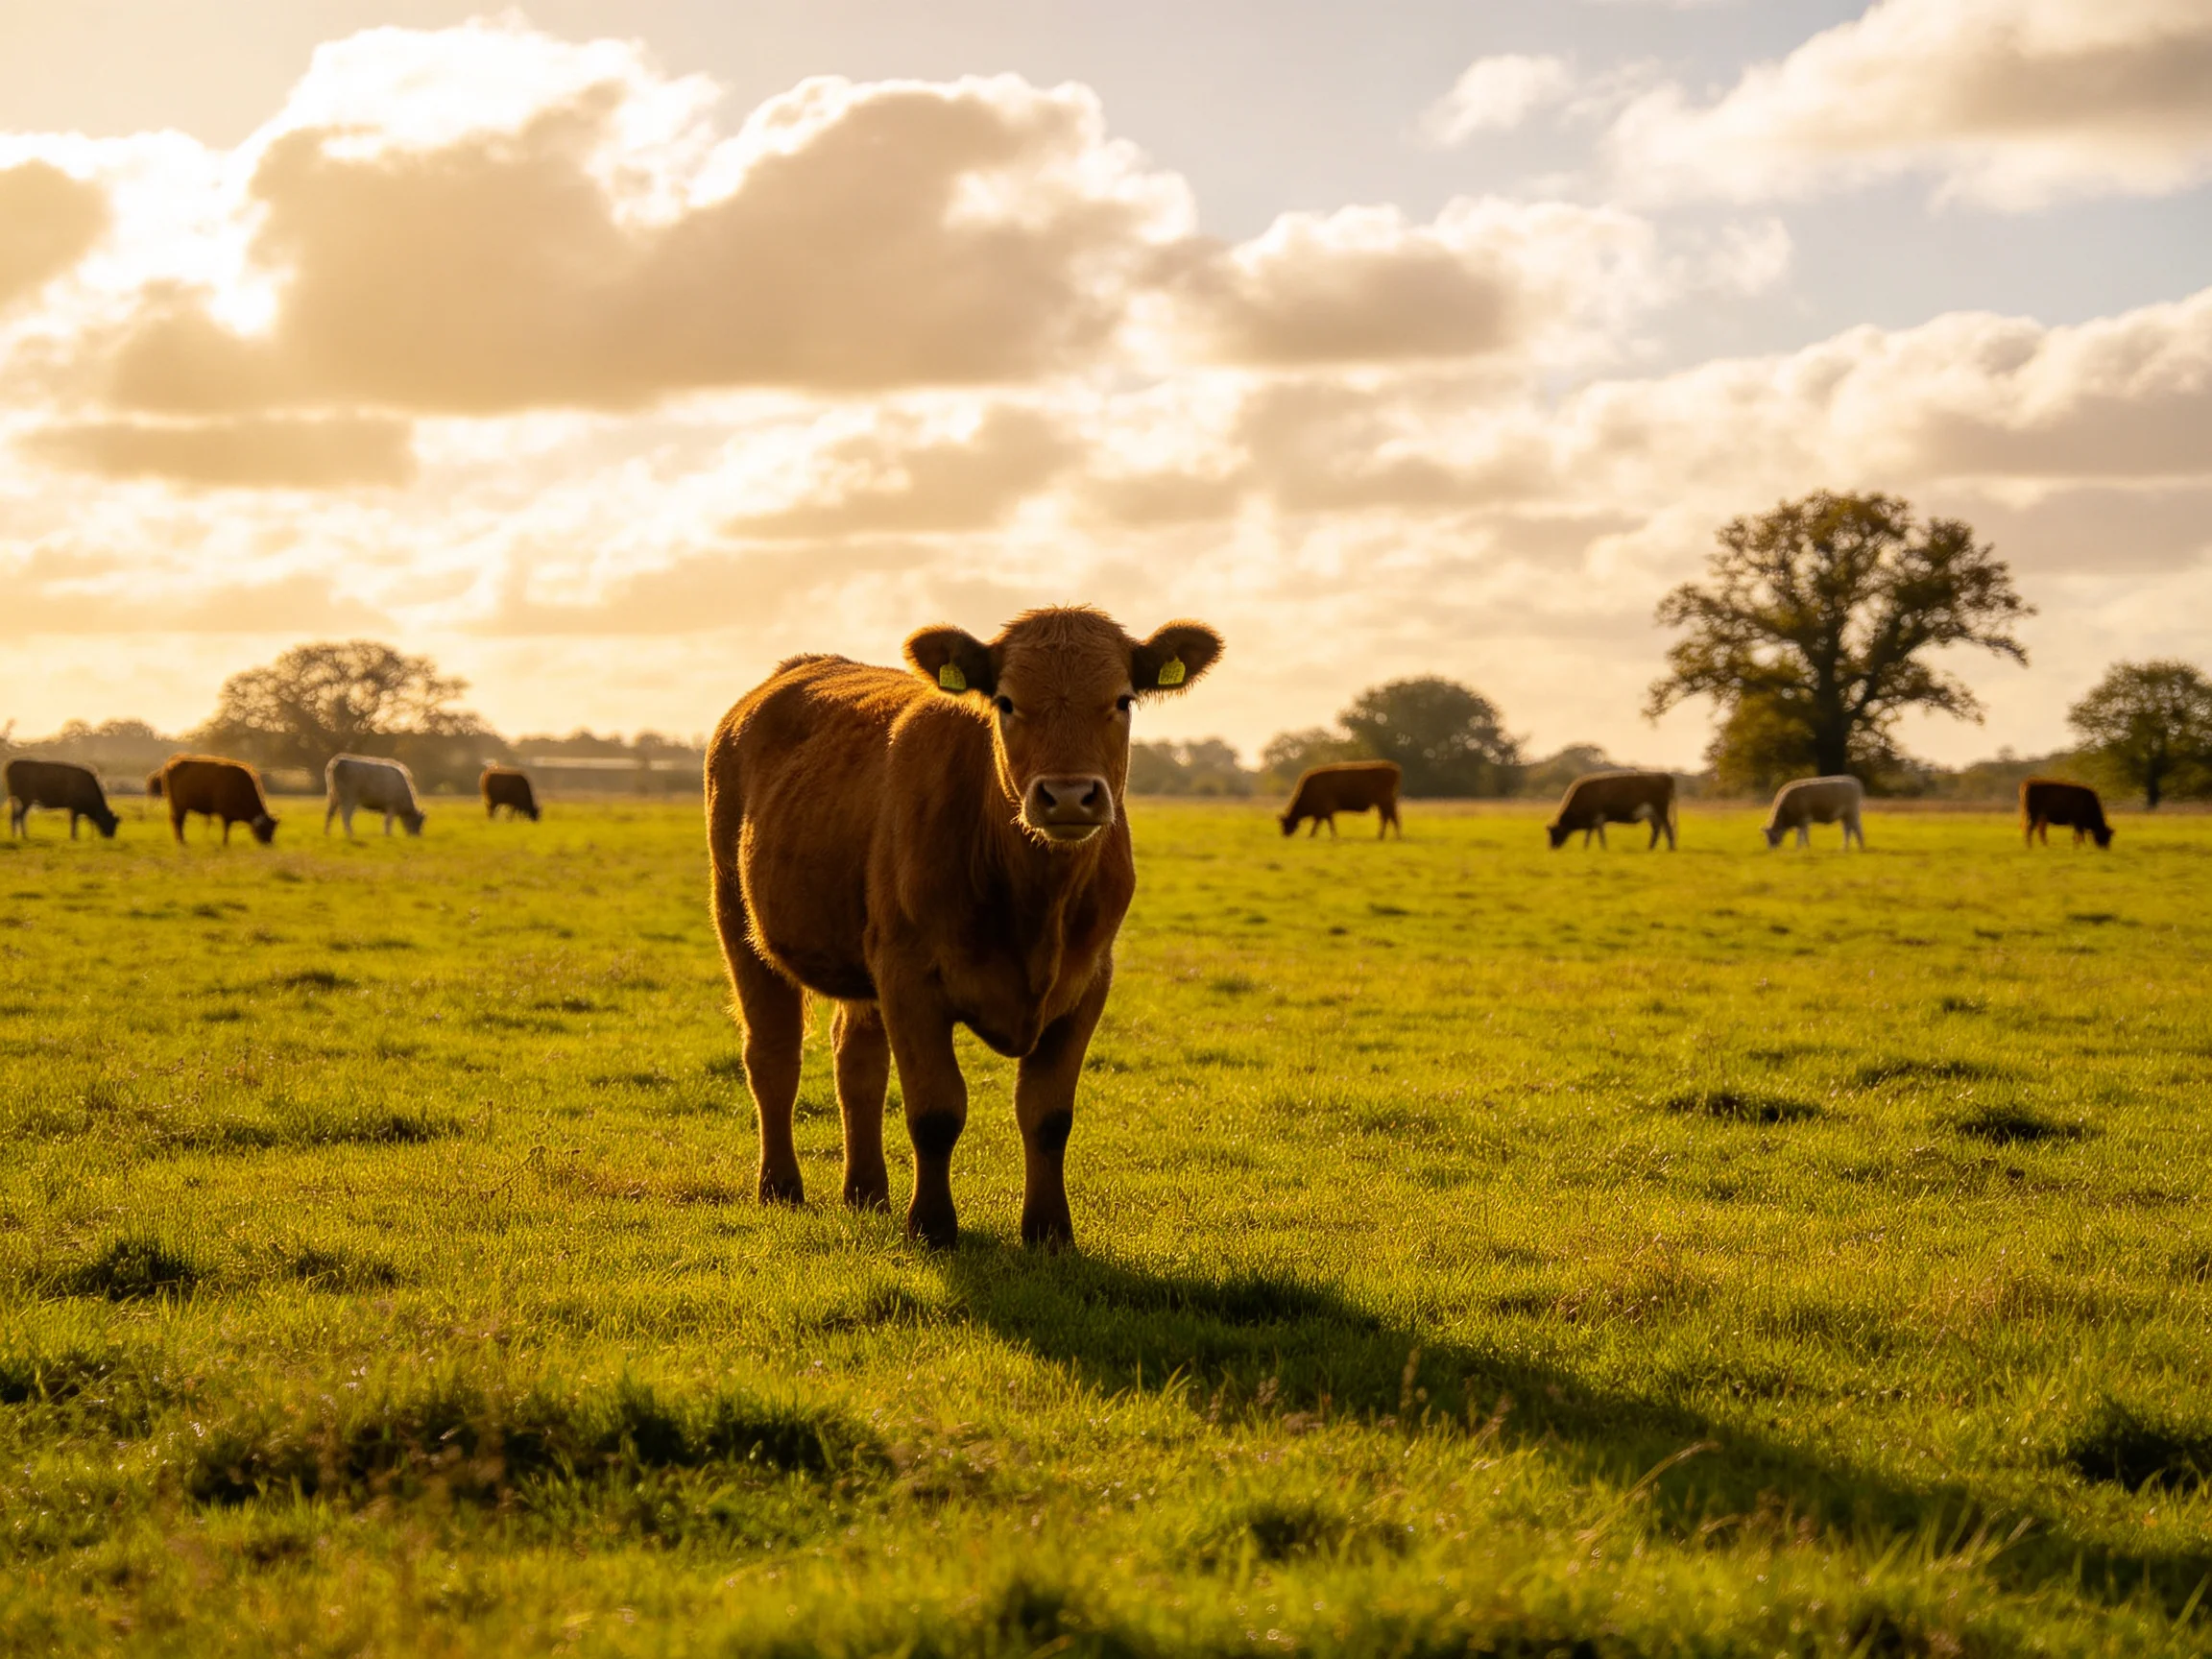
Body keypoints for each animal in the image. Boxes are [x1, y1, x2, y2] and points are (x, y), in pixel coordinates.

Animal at [705, 605, 1222, 1250]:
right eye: (1006, 701)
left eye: (1123, 700)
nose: (1068, 796)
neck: (1034, 902)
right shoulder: (910, 977)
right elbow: (936, 1110)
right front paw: (931, 1226)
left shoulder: (1088, 981)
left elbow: (1048, 1114)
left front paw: (1050, 1231)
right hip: (738, 919)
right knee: (773, 1056)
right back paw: (781, 1187)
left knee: (857, 1064)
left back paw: (866, 1193)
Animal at [1279, 760, 1402, 839]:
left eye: (1285, 823)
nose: (1285, 835)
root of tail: (1393, 769)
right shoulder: (1323, 813)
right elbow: (1323, 823)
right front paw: (1314, 835)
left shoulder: (1325, 810)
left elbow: (1324, 823)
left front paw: (1313, 835)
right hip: (1383, 803)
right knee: (1388, 817)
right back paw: (1383, 836)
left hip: (1384, 802)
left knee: (1390, 817)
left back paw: (1392, 836)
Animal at [1547, 771, 1676, 850]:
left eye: (1555, 833)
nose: (1552, 848)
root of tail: (1665, 776)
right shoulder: (1593, 820)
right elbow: (1589, 834)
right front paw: (1586, 848)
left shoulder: (1597, 817)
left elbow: (1599, 834)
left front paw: (1603, 848)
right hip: (1653, 813)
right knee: (1657, 828)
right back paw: (1650, 848)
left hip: (1661, 810)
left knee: (1668, 828)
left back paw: (1671, 848)